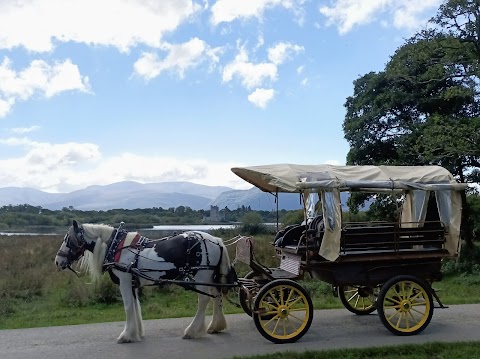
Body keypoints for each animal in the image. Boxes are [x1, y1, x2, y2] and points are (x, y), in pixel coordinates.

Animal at [54, 221, 234, 344]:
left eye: (68, 240)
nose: (57, 261)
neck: (117, 247)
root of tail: (216, 240)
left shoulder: (125, 282)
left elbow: (128, 307)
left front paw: (126, 335)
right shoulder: (133, 283)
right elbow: (135, 306)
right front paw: (137, 333)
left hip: (202, 276)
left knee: (204, 300)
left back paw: (192, 331)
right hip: (211, 278)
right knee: (217, 297)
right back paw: (215, 326)